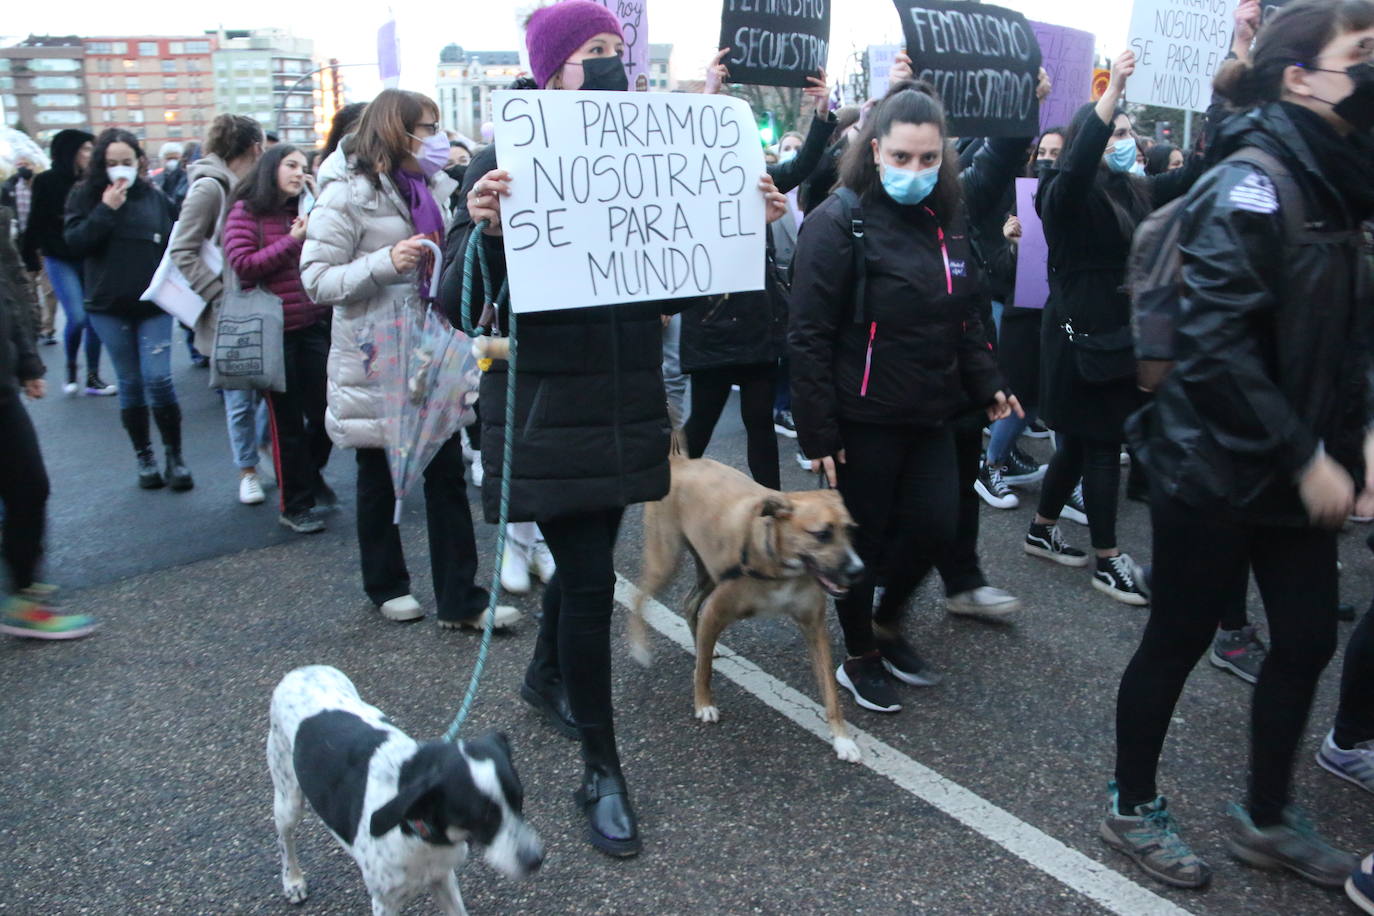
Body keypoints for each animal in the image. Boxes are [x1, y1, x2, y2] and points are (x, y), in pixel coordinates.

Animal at [265, 667, 544, 916]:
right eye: (480, 816)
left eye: (519, 800)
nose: (536, 859)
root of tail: (300, 671)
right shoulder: (385, 903)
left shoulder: (443, 877)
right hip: (288, 799)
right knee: (284, 839)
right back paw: (293, 881)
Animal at [629, 455, 862, 763]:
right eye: (822, 534)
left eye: (849, 530)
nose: (859, 570)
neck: (781, 567)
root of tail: (679, 459)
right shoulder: (716, 611)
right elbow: (704, 672)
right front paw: (704, 704)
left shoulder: (814, 628)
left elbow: (831, 693)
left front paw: (842, 739)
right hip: (666, 560)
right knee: (638, 597)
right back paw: (640, 647)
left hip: (708, 570)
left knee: (689, 604)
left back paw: (703, 644)